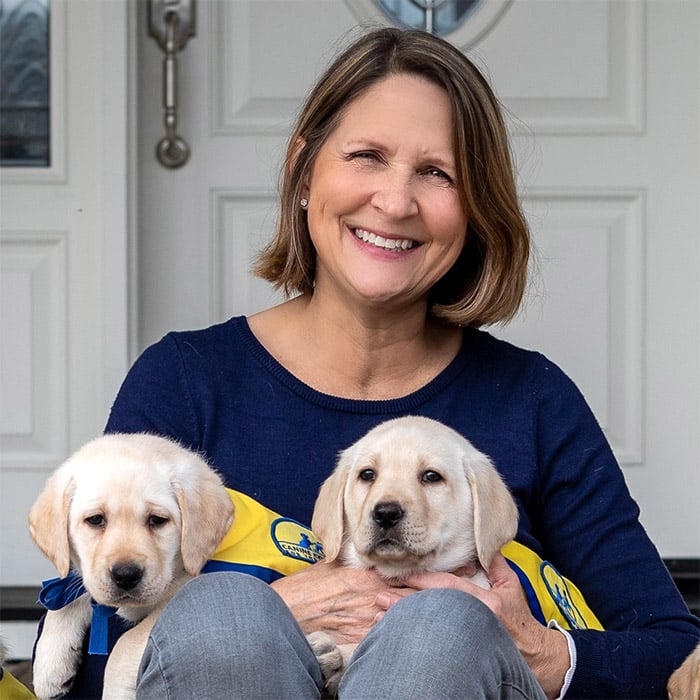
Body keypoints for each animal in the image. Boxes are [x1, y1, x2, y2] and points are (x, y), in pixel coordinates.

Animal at [30, 432, 234, 700]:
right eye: (95, 520)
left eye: (157, 520)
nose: (126, 576)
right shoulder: (95, 577)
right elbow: (67, 599)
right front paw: (49, 666)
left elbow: (125, 645)